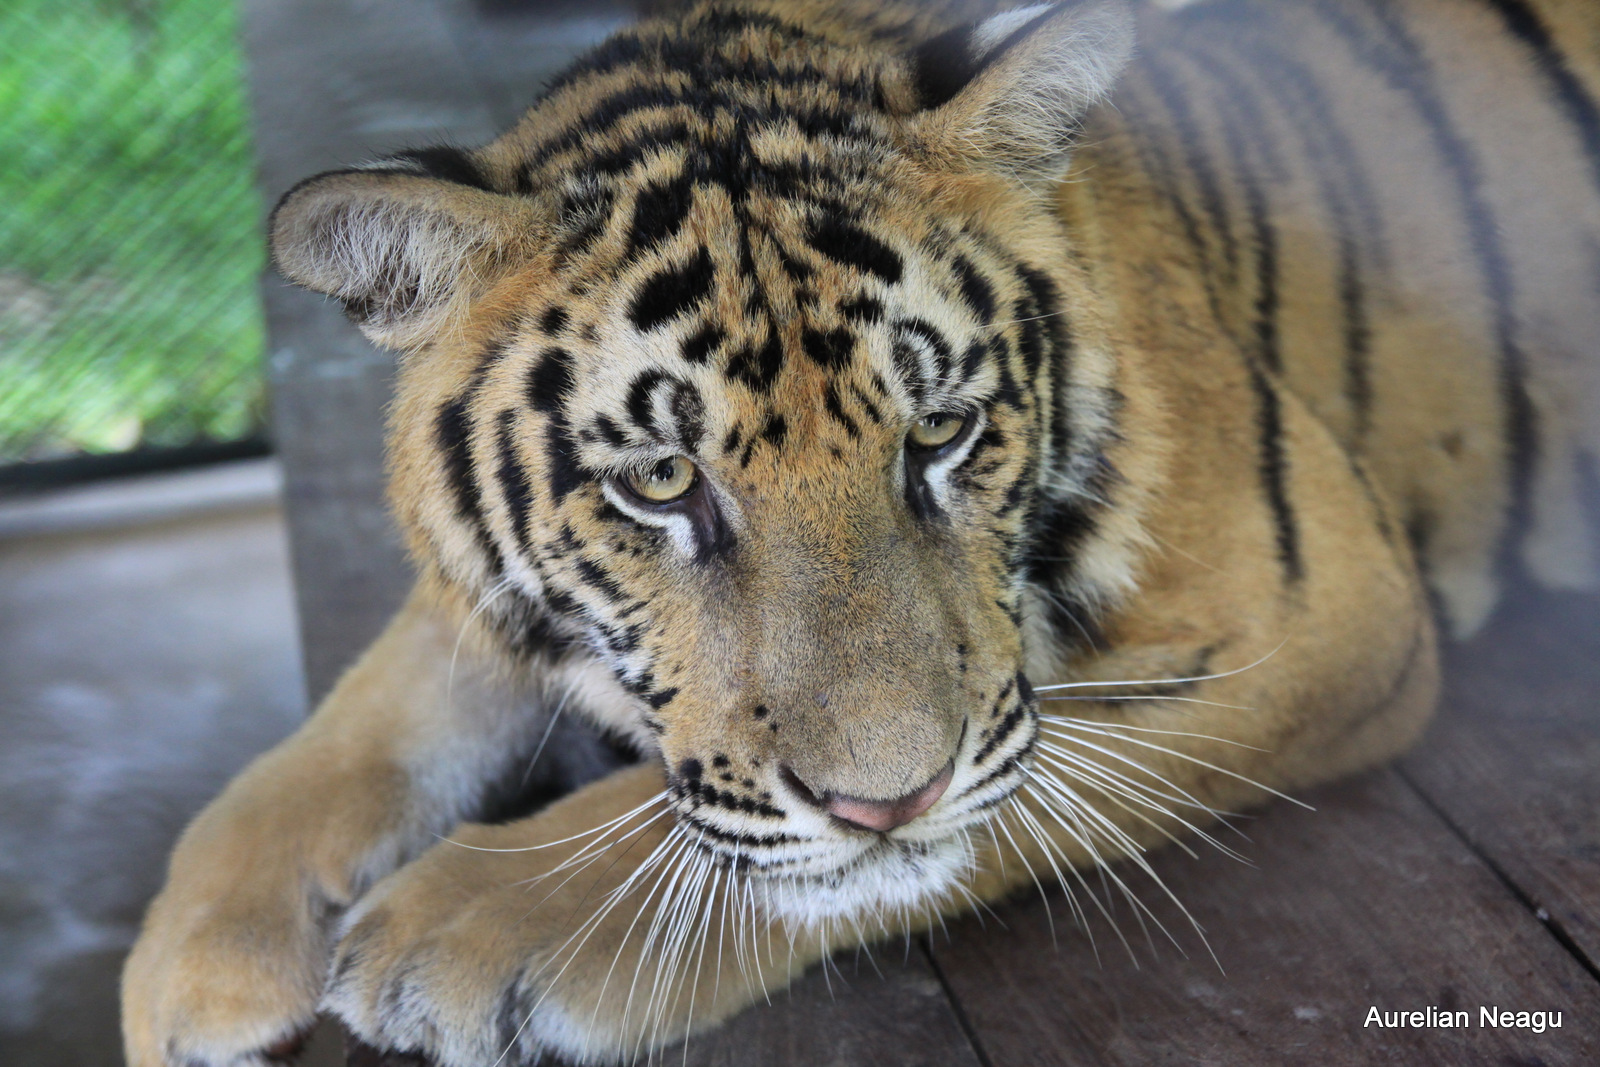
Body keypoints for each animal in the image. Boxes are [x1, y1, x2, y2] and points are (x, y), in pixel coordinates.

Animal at [122, 0, 1600, 1064]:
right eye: (663, 480)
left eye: (941, 429)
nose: (889, 798)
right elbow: (342, 735)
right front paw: (188, 960)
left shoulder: (1311, 601)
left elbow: (1000, 786)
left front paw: (464, 927)